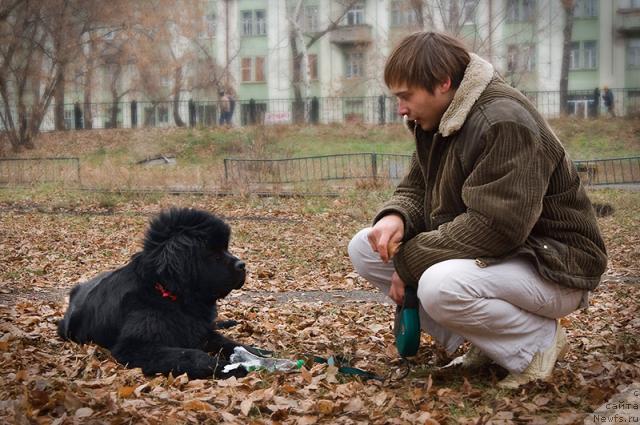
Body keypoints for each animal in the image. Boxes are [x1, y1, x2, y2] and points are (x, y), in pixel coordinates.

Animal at [58, 207, 250, 376]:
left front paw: (253, 352)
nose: (243, 265)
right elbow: (191, 355)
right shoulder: (135, 347)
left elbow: (227, 342)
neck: (169, 295)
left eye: (225, 248)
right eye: (213, 253)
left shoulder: (199, 331)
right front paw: (229, 368)